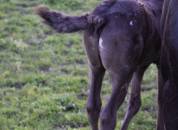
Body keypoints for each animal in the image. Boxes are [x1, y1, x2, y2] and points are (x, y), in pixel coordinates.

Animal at [35, 0, 163, 129]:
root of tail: (100, 16)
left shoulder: (141, 65)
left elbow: (135, 101)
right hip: (122, 73)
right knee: (108, 115)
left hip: (95, 66)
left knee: (92, 106)